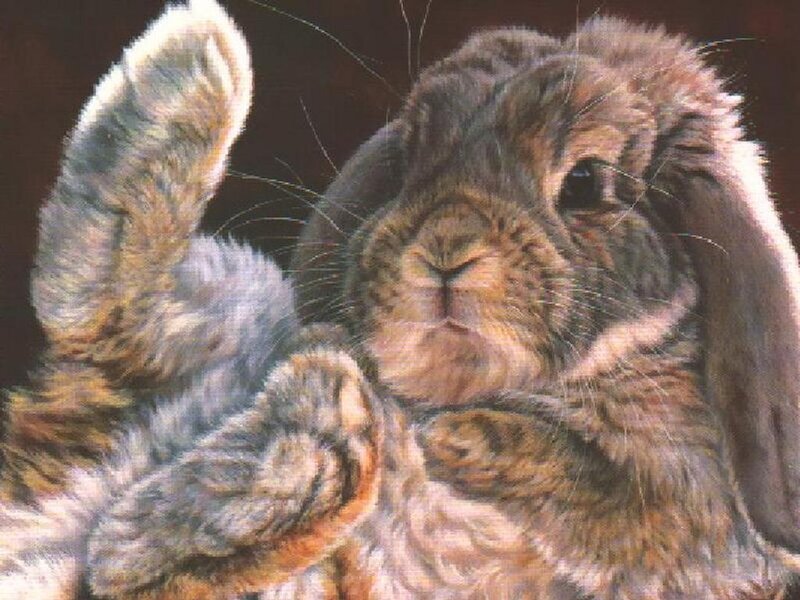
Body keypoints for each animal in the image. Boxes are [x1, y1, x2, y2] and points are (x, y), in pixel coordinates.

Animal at [3, 0, 800, 598]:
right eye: (413, 158)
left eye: (586, 183)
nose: (444, 250)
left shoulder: (697, 529)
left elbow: (620, 496)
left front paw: (455, 438)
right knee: (109, 309)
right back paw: (190, 65)